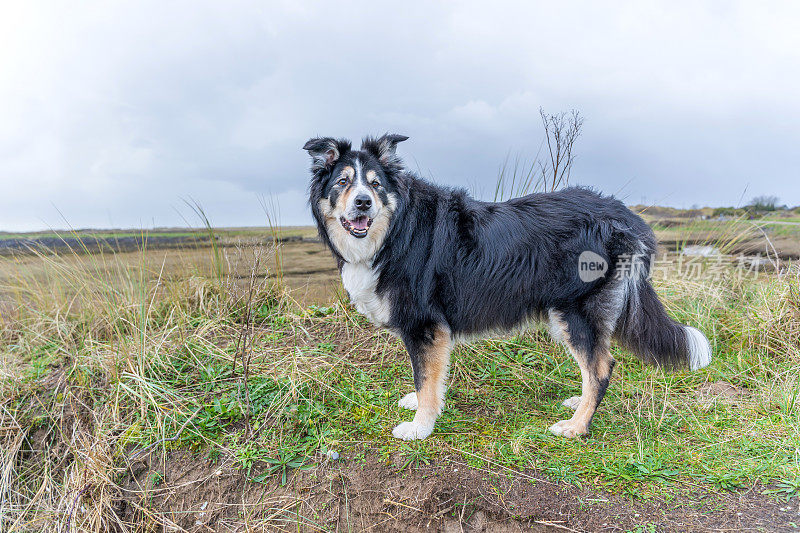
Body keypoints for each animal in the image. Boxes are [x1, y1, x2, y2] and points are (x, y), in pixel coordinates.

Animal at [302, 133, 712, 440]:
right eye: (342, 182)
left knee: (601, 367)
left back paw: (577, 426)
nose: (363, 203)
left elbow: (425, 378)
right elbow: (429, 376)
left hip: (575, 310)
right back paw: (577, 405)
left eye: (375, 185)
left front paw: (420, 426)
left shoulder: (424, 325)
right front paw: (419, 406)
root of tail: (626, 215)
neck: (396, 228)